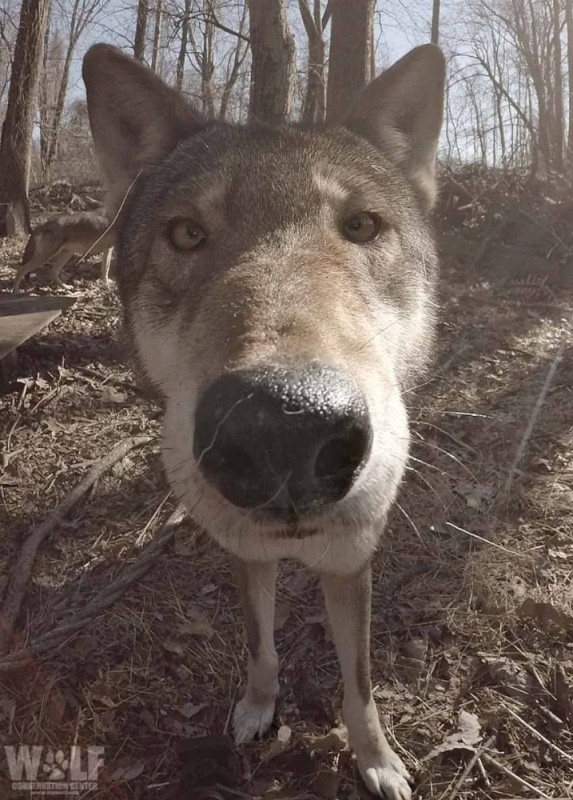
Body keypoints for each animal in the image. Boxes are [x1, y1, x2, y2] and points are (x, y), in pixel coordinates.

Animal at [82, 43, 444, 800]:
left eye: (361, 226)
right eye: (186, 233)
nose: (284, 426)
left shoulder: (353, 560)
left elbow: (359, 685)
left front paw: (376, 761)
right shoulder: (244, 552)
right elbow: (258, 645)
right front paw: (256, 710)